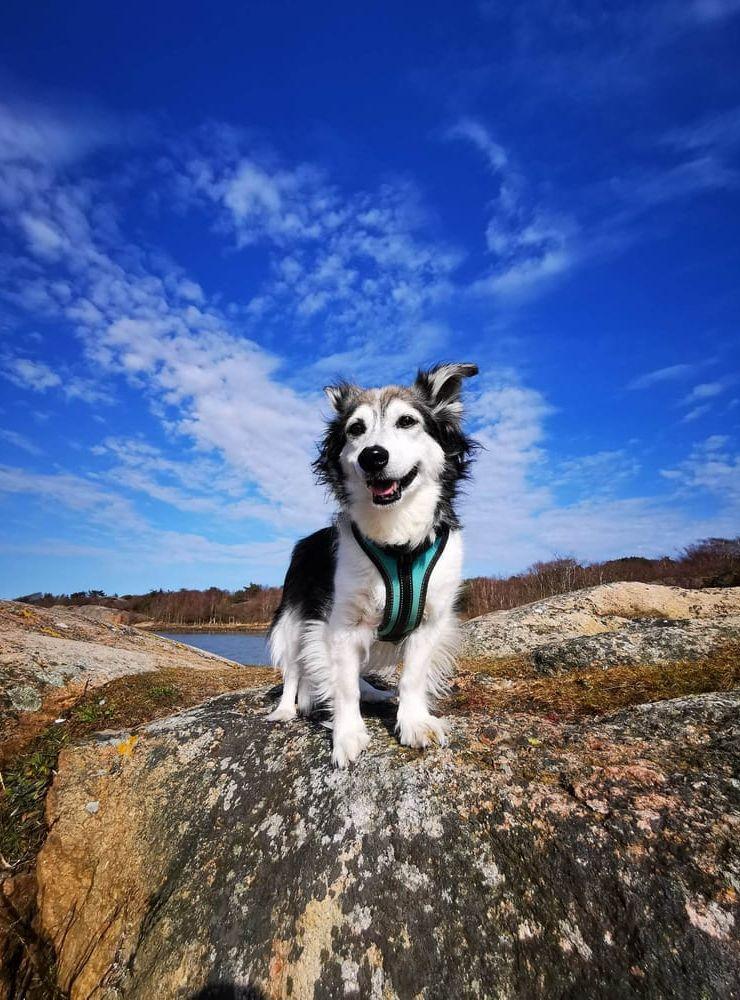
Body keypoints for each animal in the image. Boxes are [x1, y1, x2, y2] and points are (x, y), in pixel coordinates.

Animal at [268, 364, 476, 768]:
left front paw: (413, 722)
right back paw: (285, 709)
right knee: (294, 669)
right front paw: (347, 735)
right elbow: (343, 685)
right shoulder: (341, 625)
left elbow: (412, 677)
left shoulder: (430, 621)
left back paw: (374, 692)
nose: (373, 456)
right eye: (355, 429)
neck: (397, 540)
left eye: (407, 421)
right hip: (293, 621)